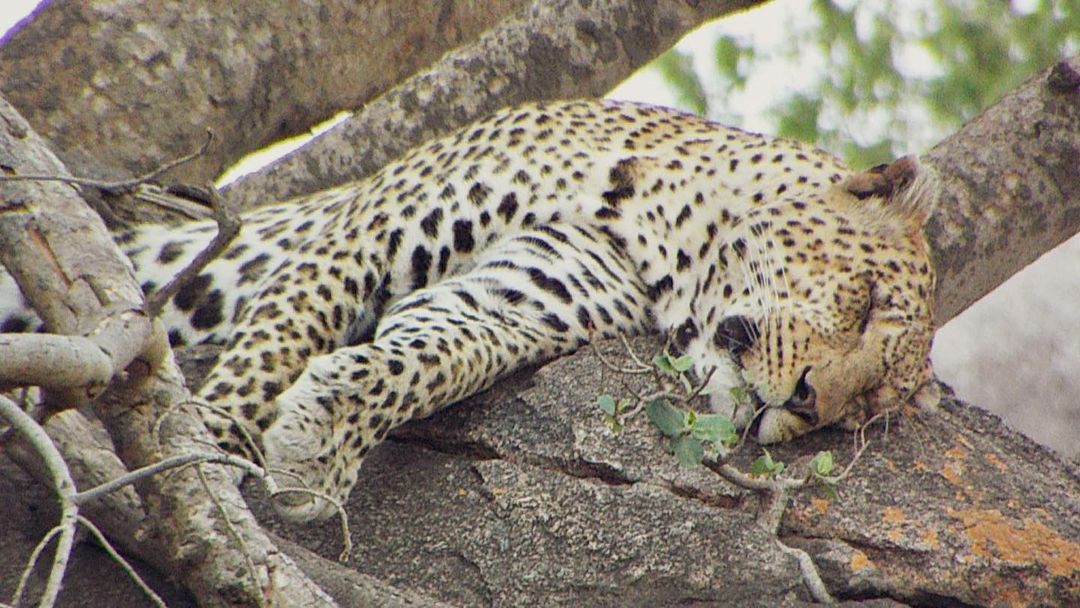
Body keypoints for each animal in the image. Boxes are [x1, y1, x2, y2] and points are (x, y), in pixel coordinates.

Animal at [0, 98, 941, 522]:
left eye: (862, 412)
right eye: (863, 304)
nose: (810, 404)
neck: (652, 236)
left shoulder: (520, 294)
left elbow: (433, 355)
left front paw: (321, 451)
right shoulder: (364, 233)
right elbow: (278, 341)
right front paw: (203, 455)